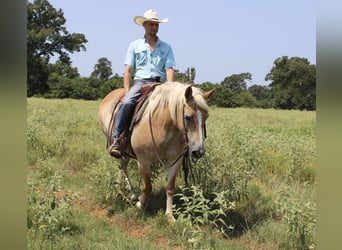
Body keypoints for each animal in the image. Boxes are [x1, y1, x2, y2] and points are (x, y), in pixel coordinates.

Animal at [97, 81, 214, 220]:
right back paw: (124, 190)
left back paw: (128, 190)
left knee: (122, 166)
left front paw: (169, 216)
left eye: (206, 117)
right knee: (122, 166)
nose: (198, 151)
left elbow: (170, 187)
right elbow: (147, 187)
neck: (162, 126)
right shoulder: (143, 161)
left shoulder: (175, 160)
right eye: (187, 117)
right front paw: (140, 205)